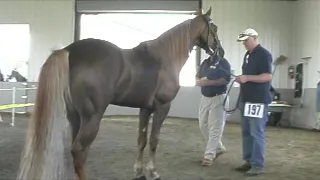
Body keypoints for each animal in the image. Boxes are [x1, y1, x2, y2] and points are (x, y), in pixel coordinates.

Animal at [16, 7, 221, 180]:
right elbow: (154, 140)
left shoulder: (145, 109)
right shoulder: (162, 107)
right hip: (92, 117)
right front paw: (153, 171)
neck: (164, 58)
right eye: (214, 27)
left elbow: (142, 140)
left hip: (74, 116)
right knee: (79, 150)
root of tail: (68, 50)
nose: (219, 52)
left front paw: (139, 171)